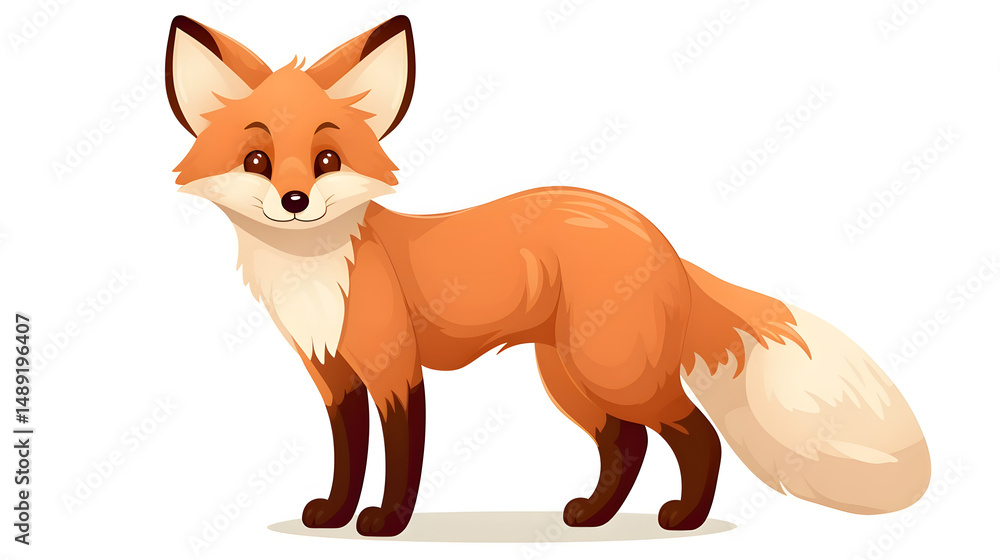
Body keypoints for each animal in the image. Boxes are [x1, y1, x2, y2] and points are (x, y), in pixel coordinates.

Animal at [165, 15, 931, 537]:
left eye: (326, 160)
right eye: (258, 161)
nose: (295, 201)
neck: (320, 274)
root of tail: (655, 234)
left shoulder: (395, 367)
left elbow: (403, 457)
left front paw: (386, 523)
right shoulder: (335, 376)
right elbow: (348, 456)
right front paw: (334, 515)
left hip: (611, 371)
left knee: (695, 433)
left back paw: (682, 518)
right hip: (572, 376)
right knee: (627, 443)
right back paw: (593, 516)